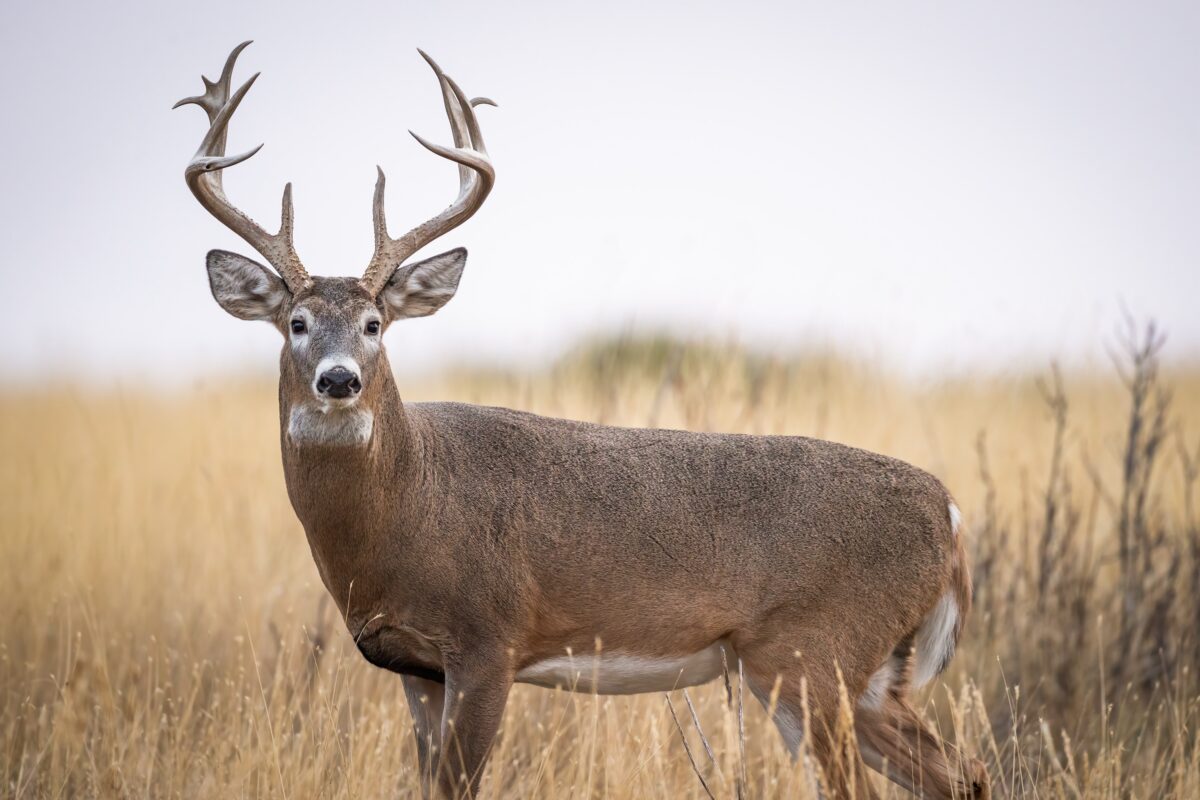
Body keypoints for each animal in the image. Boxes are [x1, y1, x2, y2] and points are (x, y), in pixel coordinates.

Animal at [177, 42, 990, 799]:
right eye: (296, 322)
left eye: (376, 324)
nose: (339, 379)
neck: (408, 503)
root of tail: (951, 513)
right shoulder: (415, 668)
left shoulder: (488, 641)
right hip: (864, 674)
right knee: (965, 773)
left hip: (812, 654)